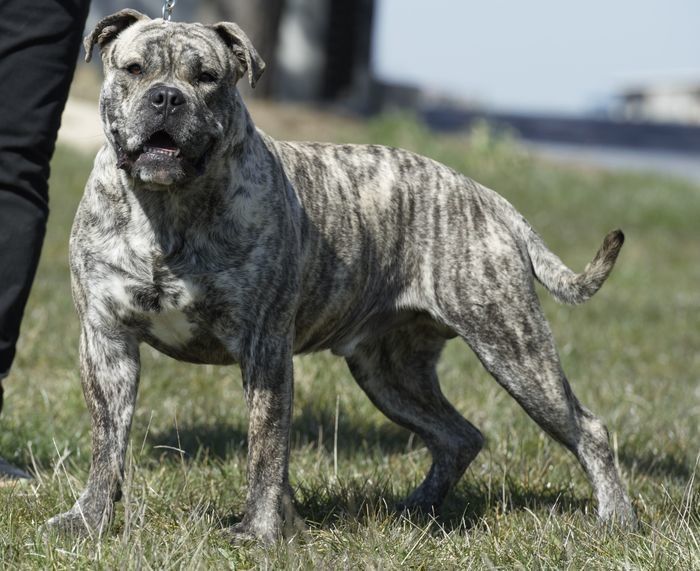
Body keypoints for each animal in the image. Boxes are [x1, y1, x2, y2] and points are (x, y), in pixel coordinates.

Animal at [46, 10, 636, 542]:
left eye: (207, 77)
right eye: (133, 68)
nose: (167, 98)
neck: (166, 209)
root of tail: (491, 200)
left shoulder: (264, 349)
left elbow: (265, 450)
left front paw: (259, 533)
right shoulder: (107, 342)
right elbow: (108, 444)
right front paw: (87, 521)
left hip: (513, 348)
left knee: (588, 430)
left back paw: (616, 521)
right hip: (389, 372)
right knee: (458, 436)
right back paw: (416, 511)